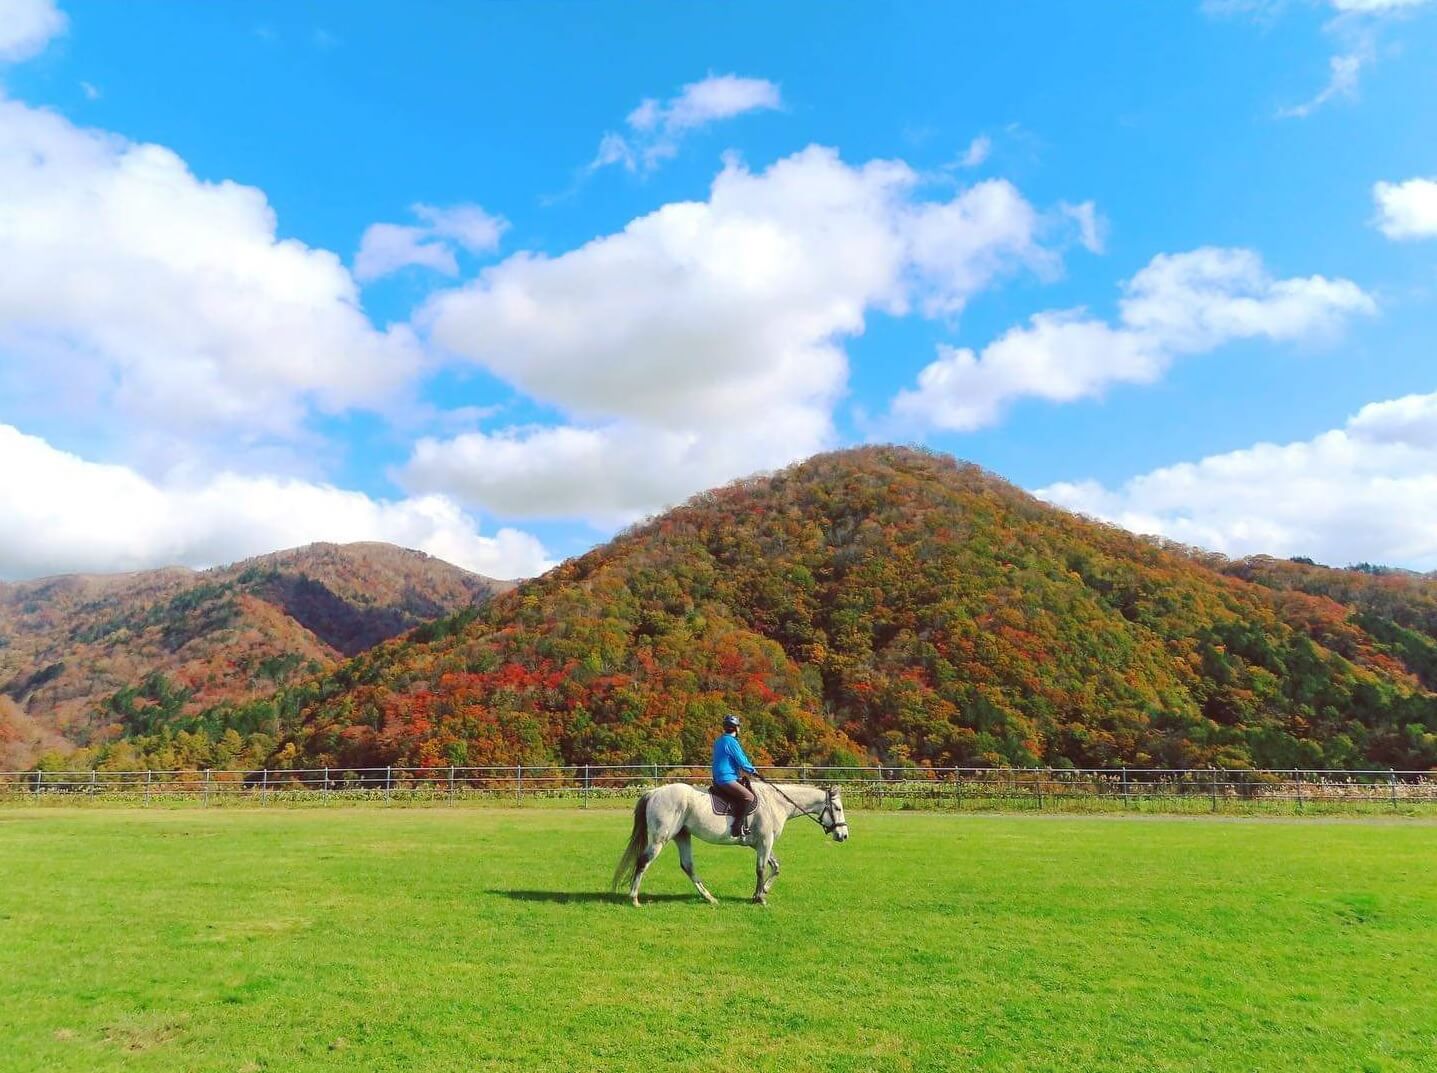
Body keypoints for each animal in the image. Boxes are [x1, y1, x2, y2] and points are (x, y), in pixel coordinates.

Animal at [612, 781, 844, 907]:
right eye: (838, 808)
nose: (843, 835)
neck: (775, 803)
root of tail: (654, 792)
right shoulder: (765, 842)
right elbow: (761, 869)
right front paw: (759, 898)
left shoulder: (761, 844)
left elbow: (775, 867)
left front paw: (763, 891)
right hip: (661, 838)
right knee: (643, 861)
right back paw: (634, 898)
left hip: (682, 836)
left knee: (688, 866)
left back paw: (709, 898)